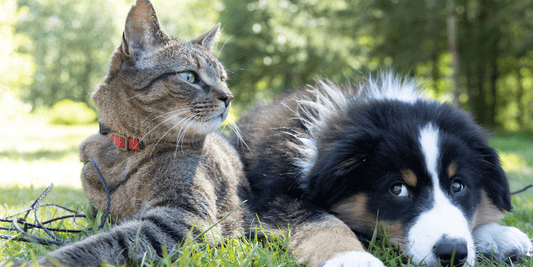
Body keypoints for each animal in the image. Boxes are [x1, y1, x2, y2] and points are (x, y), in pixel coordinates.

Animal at [2, 1, 251, 266]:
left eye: (223, 78)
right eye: (189, 76)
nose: (228, 96)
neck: (126, 149)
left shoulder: (183, 217)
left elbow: (102, 244)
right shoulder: (98, 213)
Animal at [234, 72, 532, 266]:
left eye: (458, 185)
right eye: (397, 189)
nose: (452, 253)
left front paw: (499, 235)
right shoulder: (271, 198)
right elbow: (322, 221)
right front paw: (353, 258)